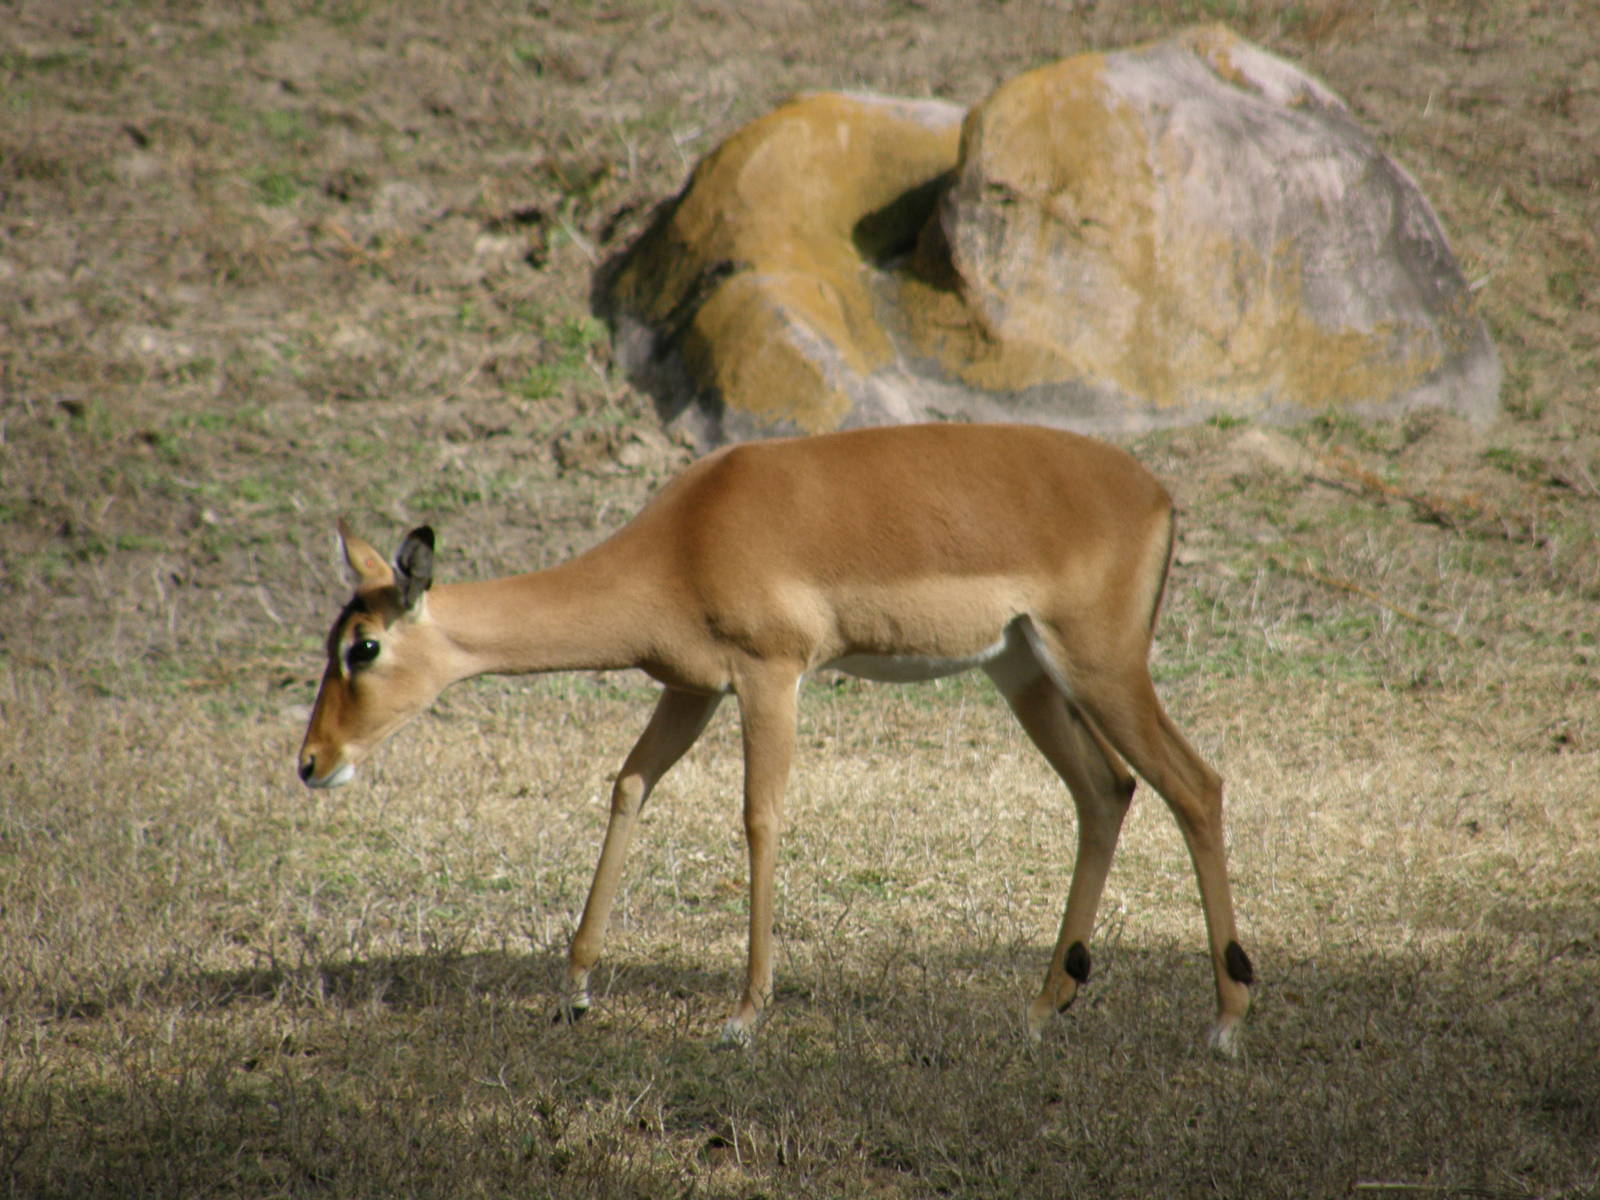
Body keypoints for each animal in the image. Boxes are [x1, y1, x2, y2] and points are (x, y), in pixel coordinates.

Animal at [298, 422, 1254, 1052]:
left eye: (363, 646)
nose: (312, 763)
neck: (685, 538)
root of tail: (1160, 495)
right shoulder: (691, 690)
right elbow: (629, 785)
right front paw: (574, 992)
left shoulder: (769, 677)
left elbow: (760, 819)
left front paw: (744, 1016)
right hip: (1025, 673)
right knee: (1108, 789)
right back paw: (1041, 1008)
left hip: (1101, 667)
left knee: (1195, 784)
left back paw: (1225, 1021)